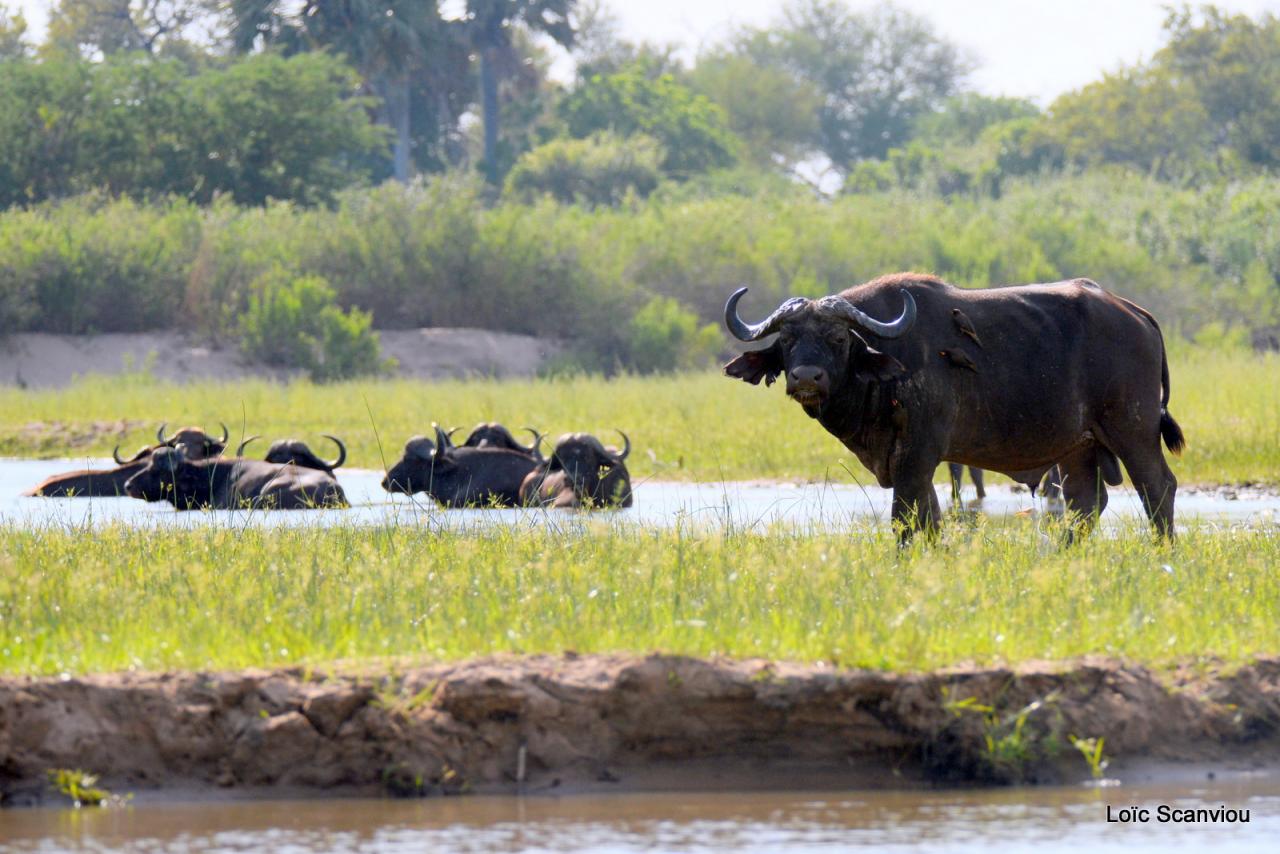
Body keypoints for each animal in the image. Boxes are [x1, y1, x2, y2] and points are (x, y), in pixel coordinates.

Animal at [727, 273, 1182, 540]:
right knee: (1084, 503)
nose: (806, 378)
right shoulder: (914, 461)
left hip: (1132, 429)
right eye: (787, 340)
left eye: (838, 338)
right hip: (1079, 446)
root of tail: (1137, 314)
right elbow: (929, 518)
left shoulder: (917, 454)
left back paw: (1163, 550)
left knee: (1157, 488)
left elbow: (906, 517)